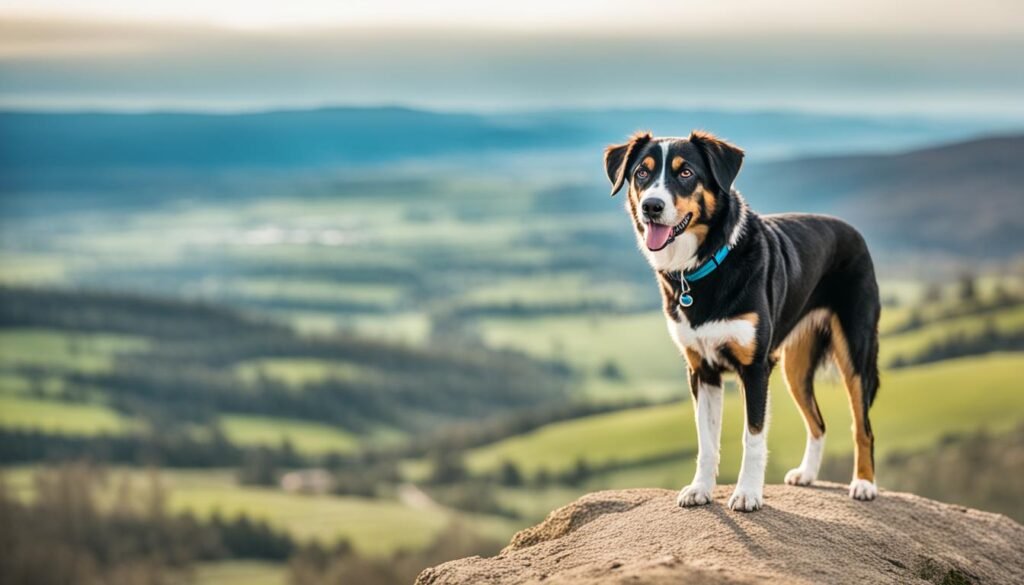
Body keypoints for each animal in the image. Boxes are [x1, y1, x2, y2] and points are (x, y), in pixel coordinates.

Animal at [606, 131, 880, 512]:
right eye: (641, 174)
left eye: (686, 172)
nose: (652, 206)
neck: (704, 265)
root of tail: (852, 231)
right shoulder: (702, 370)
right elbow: (706, 440)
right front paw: (700, 489)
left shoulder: (755, 368)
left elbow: (753, 437)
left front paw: (748, 494)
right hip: (795, 367)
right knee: (818, 423)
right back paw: (807, 474)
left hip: (855, 350)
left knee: (862, 425)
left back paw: (864, 484)